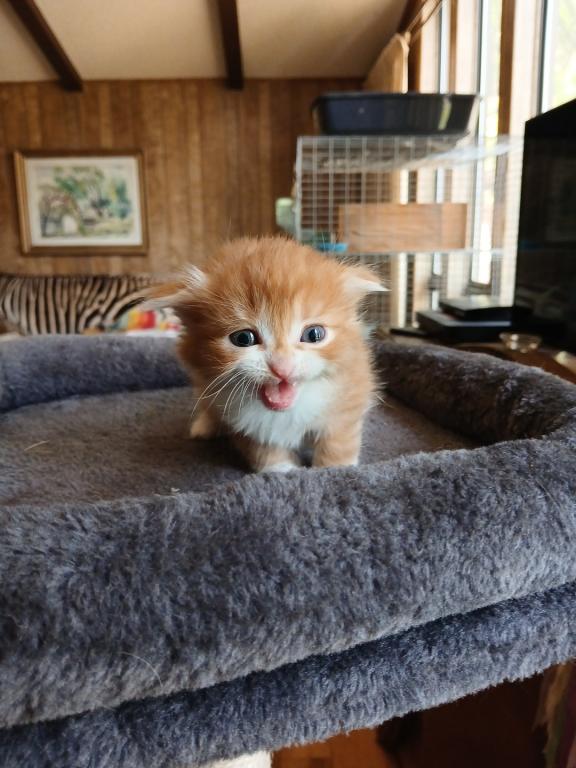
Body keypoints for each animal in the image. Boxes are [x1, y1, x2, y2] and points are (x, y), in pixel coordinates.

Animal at [144, 236, 385, 472]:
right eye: (243, 338)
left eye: (314, 334)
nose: (282, 367)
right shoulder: (241, 419)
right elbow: (264, 449)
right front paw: (281, 470)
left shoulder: (349, 397)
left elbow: (338, 442)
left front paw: (335, 470)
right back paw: (205, 426)